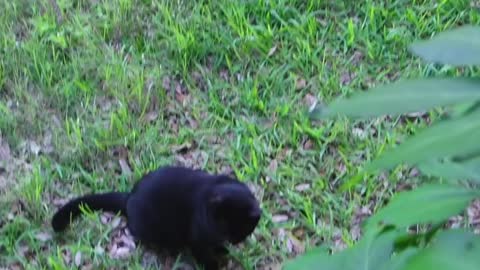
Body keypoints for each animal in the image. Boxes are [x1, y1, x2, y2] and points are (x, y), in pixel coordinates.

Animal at [51, 166, 262, 268]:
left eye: (239, 230)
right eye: (225, 227)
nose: (233, 240)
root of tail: (130, 196)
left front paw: (222, 250)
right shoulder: (198, 238)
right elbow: (203, 253)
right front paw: (215, 264)